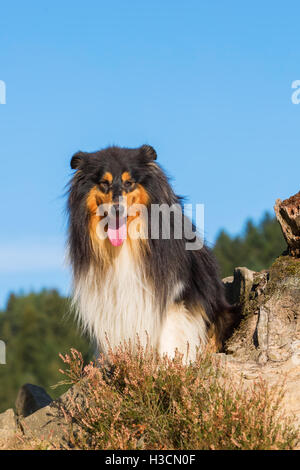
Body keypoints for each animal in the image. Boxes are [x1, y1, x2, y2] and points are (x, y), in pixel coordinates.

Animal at [67, 145, 233, 362]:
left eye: (129, 182)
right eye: (104, 183)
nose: (117, 210)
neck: (127, 244)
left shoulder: (175, 295)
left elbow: (169, 338)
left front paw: (170, 364)